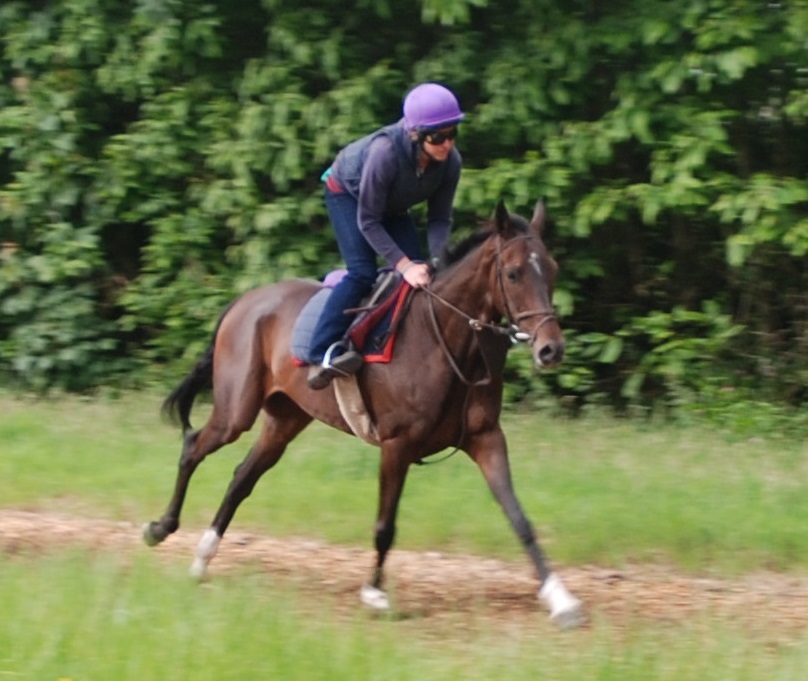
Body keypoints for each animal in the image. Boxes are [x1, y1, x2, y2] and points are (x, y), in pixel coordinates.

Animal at [145, 197, 584, 628]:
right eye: (513, 273)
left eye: (552, 269)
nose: (551, 349)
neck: (445, 340)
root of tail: (244, 301)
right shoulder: (397, 444)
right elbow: (385, 524)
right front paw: (375, 593)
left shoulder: (486, 438)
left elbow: (519, 518)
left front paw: (560, 599)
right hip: (237, 412)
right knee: (194, 447)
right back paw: (160, 528)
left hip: (285, 419)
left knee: (241, 478)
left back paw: (203, 557)